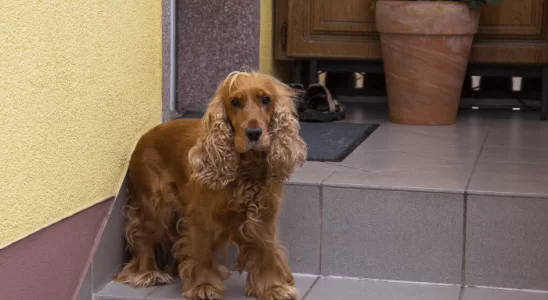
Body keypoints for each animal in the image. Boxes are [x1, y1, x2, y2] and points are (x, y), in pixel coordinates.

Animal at [114, 71, 308, 300]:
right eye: (234, 102)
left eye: (266, 99)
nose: (253, 133)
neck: (247, 168)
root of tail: (143, 137)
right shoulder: (200, 216)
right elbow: (201, 251)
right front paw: (204, 286)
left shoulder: (265, 214)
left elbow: (267, 250)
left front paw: (273, 287)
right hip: (155, 207)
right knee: (141, 234)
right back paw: (148, 272)